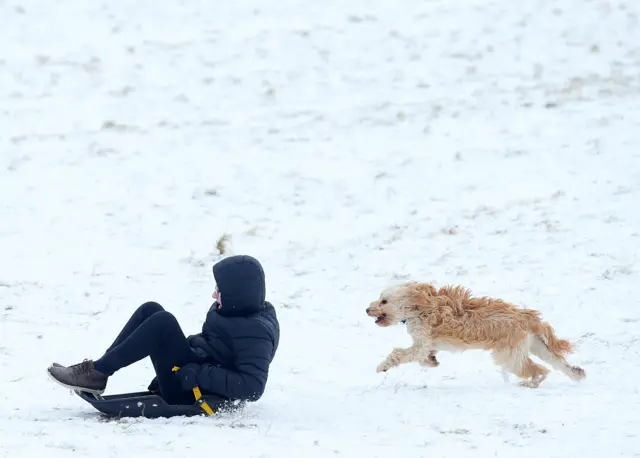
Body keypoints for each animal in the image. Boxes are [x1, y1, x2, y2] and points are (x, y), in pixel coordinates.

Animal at [364, 280, 584, 388]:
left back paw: (530, 384)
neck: (420, 308)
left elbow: (400, 354)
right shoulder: (427, 344)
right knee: (559, 364)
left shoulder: (421, 343)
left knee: (540, 370)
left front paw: (382, 366)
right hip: (537, 346)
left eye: (383, 301)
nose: (367, 309)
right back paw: (577, 373)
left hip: (508, 356)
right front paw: (432, 361)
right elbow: (424, 356)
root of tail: (526, 317)